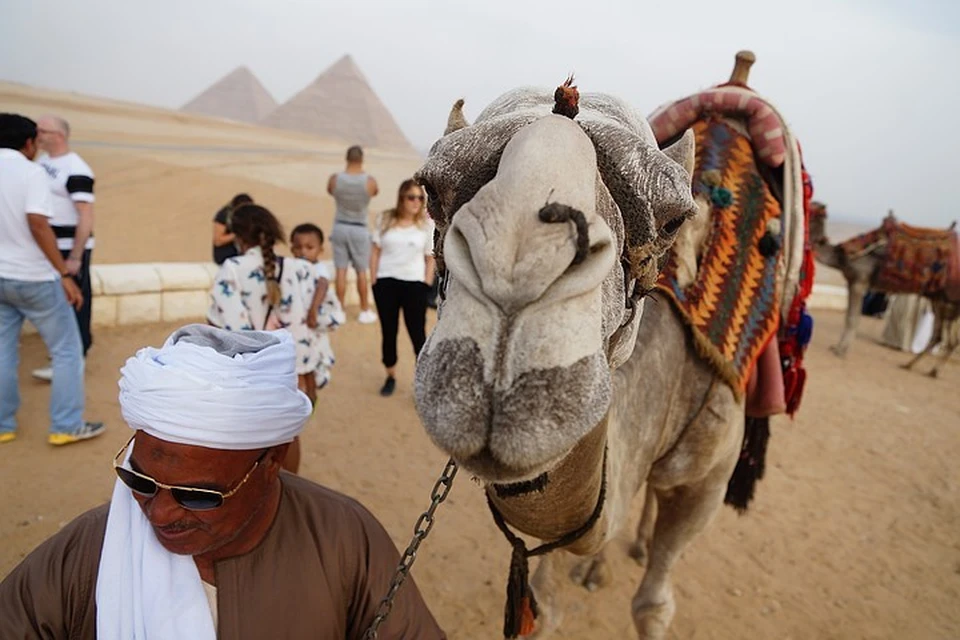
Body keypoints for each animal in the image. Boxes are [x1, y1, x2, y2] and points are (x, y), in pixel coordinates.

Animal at [414, 52, 808, 636]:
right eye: (431, 190)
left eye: (673, 219)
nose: (517, 272)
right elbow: (545, 605)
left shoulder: (709, 480)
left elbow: (653, 605)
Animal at [808, 205, 960, 376]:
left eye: (812, 207)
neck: (845, 256)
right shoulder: (851, 281)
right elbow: (849, 317)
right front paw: (837, 347)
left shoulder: (859, 282)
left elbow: (852, 319)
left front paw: (840, 350)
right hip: (941, 300)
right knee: (943, 337)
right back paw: (917, 367)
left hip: (947, 301)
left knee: (944, 337)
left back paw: (927, 369)